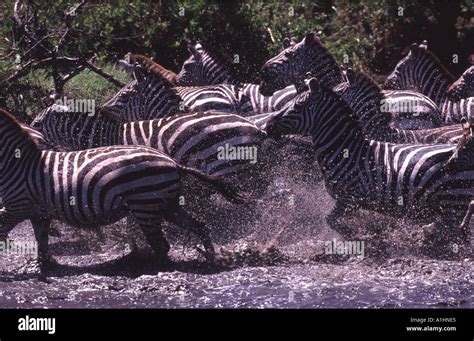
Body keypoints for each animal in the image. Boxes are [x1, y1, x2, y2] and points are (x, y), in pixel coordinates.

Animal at [0, 107, 252, 272]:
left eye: (40, 122)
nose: (37, 131)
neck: (17, 164)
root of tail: (173, 163)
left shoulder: (17, 207)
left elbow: (4, 232)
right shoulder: (37, 213)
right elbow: (41, 241)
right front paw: (45, 265)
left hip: (146, 205)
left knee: (162, 244)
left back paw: (148, 267)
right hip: (166, 205)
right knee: (198, 225)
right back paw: (210, 258)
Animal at [264, 78, 472, 250]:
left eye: (298, 105)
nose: (267, 126)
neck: (347, 151)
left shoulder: (351, 198)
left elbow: (331, 221)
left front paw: (364, 238)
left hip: (451, 199)